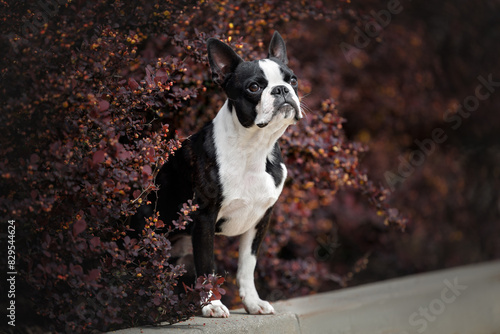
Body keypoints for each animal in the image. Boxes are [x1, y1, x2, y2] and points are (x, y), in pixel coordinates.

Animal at [131, 31, 302, 318]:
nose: (281, 89)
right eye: (253, 87)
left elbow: (247, 267)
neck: (254, 148)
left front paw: (253, 303)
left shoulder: (260, 220)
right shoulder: (204, 218)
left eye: (292, 80)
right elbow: (207, 266)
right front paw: (212, 305)